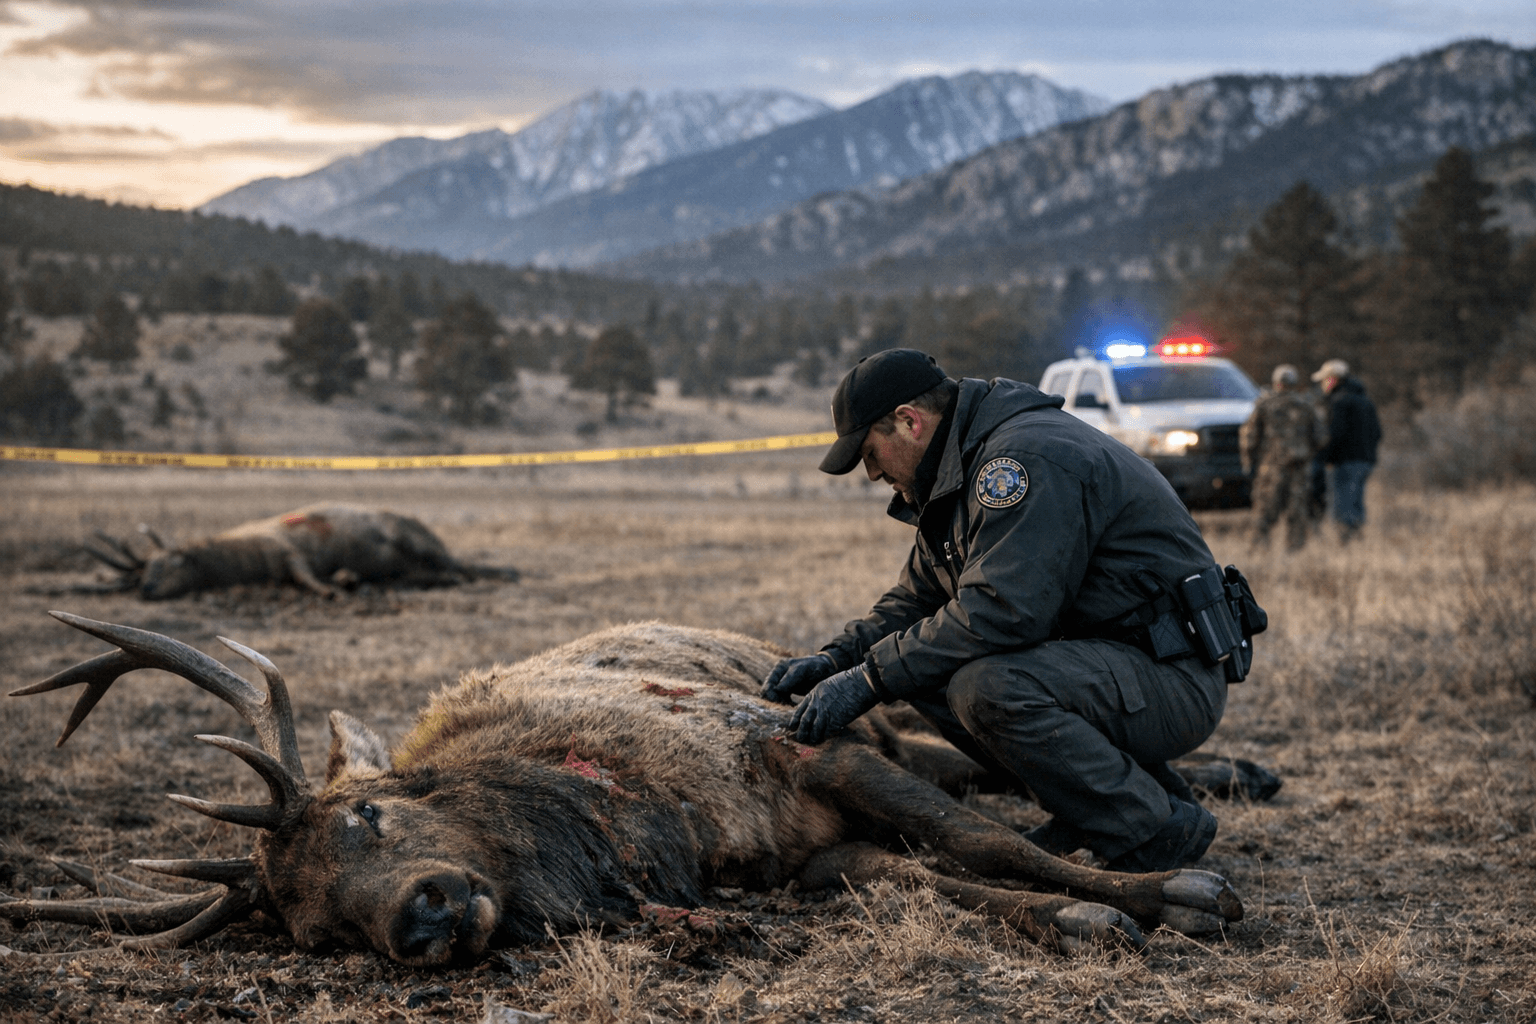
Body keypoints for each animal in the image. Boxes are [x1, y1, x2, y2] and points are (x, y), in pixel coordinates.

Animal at [0, 612, 1245, 965]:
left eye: (368, 807)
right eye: (316, 930)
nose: (422, 915)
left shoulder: (806, 747)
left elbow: (988, 846)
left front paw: (1172, 894)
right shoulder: (806, 854)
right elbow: (942, 878)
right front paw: (1081, 913)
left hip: (886, 713)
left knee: (981, 754)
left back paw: (1227, 771)